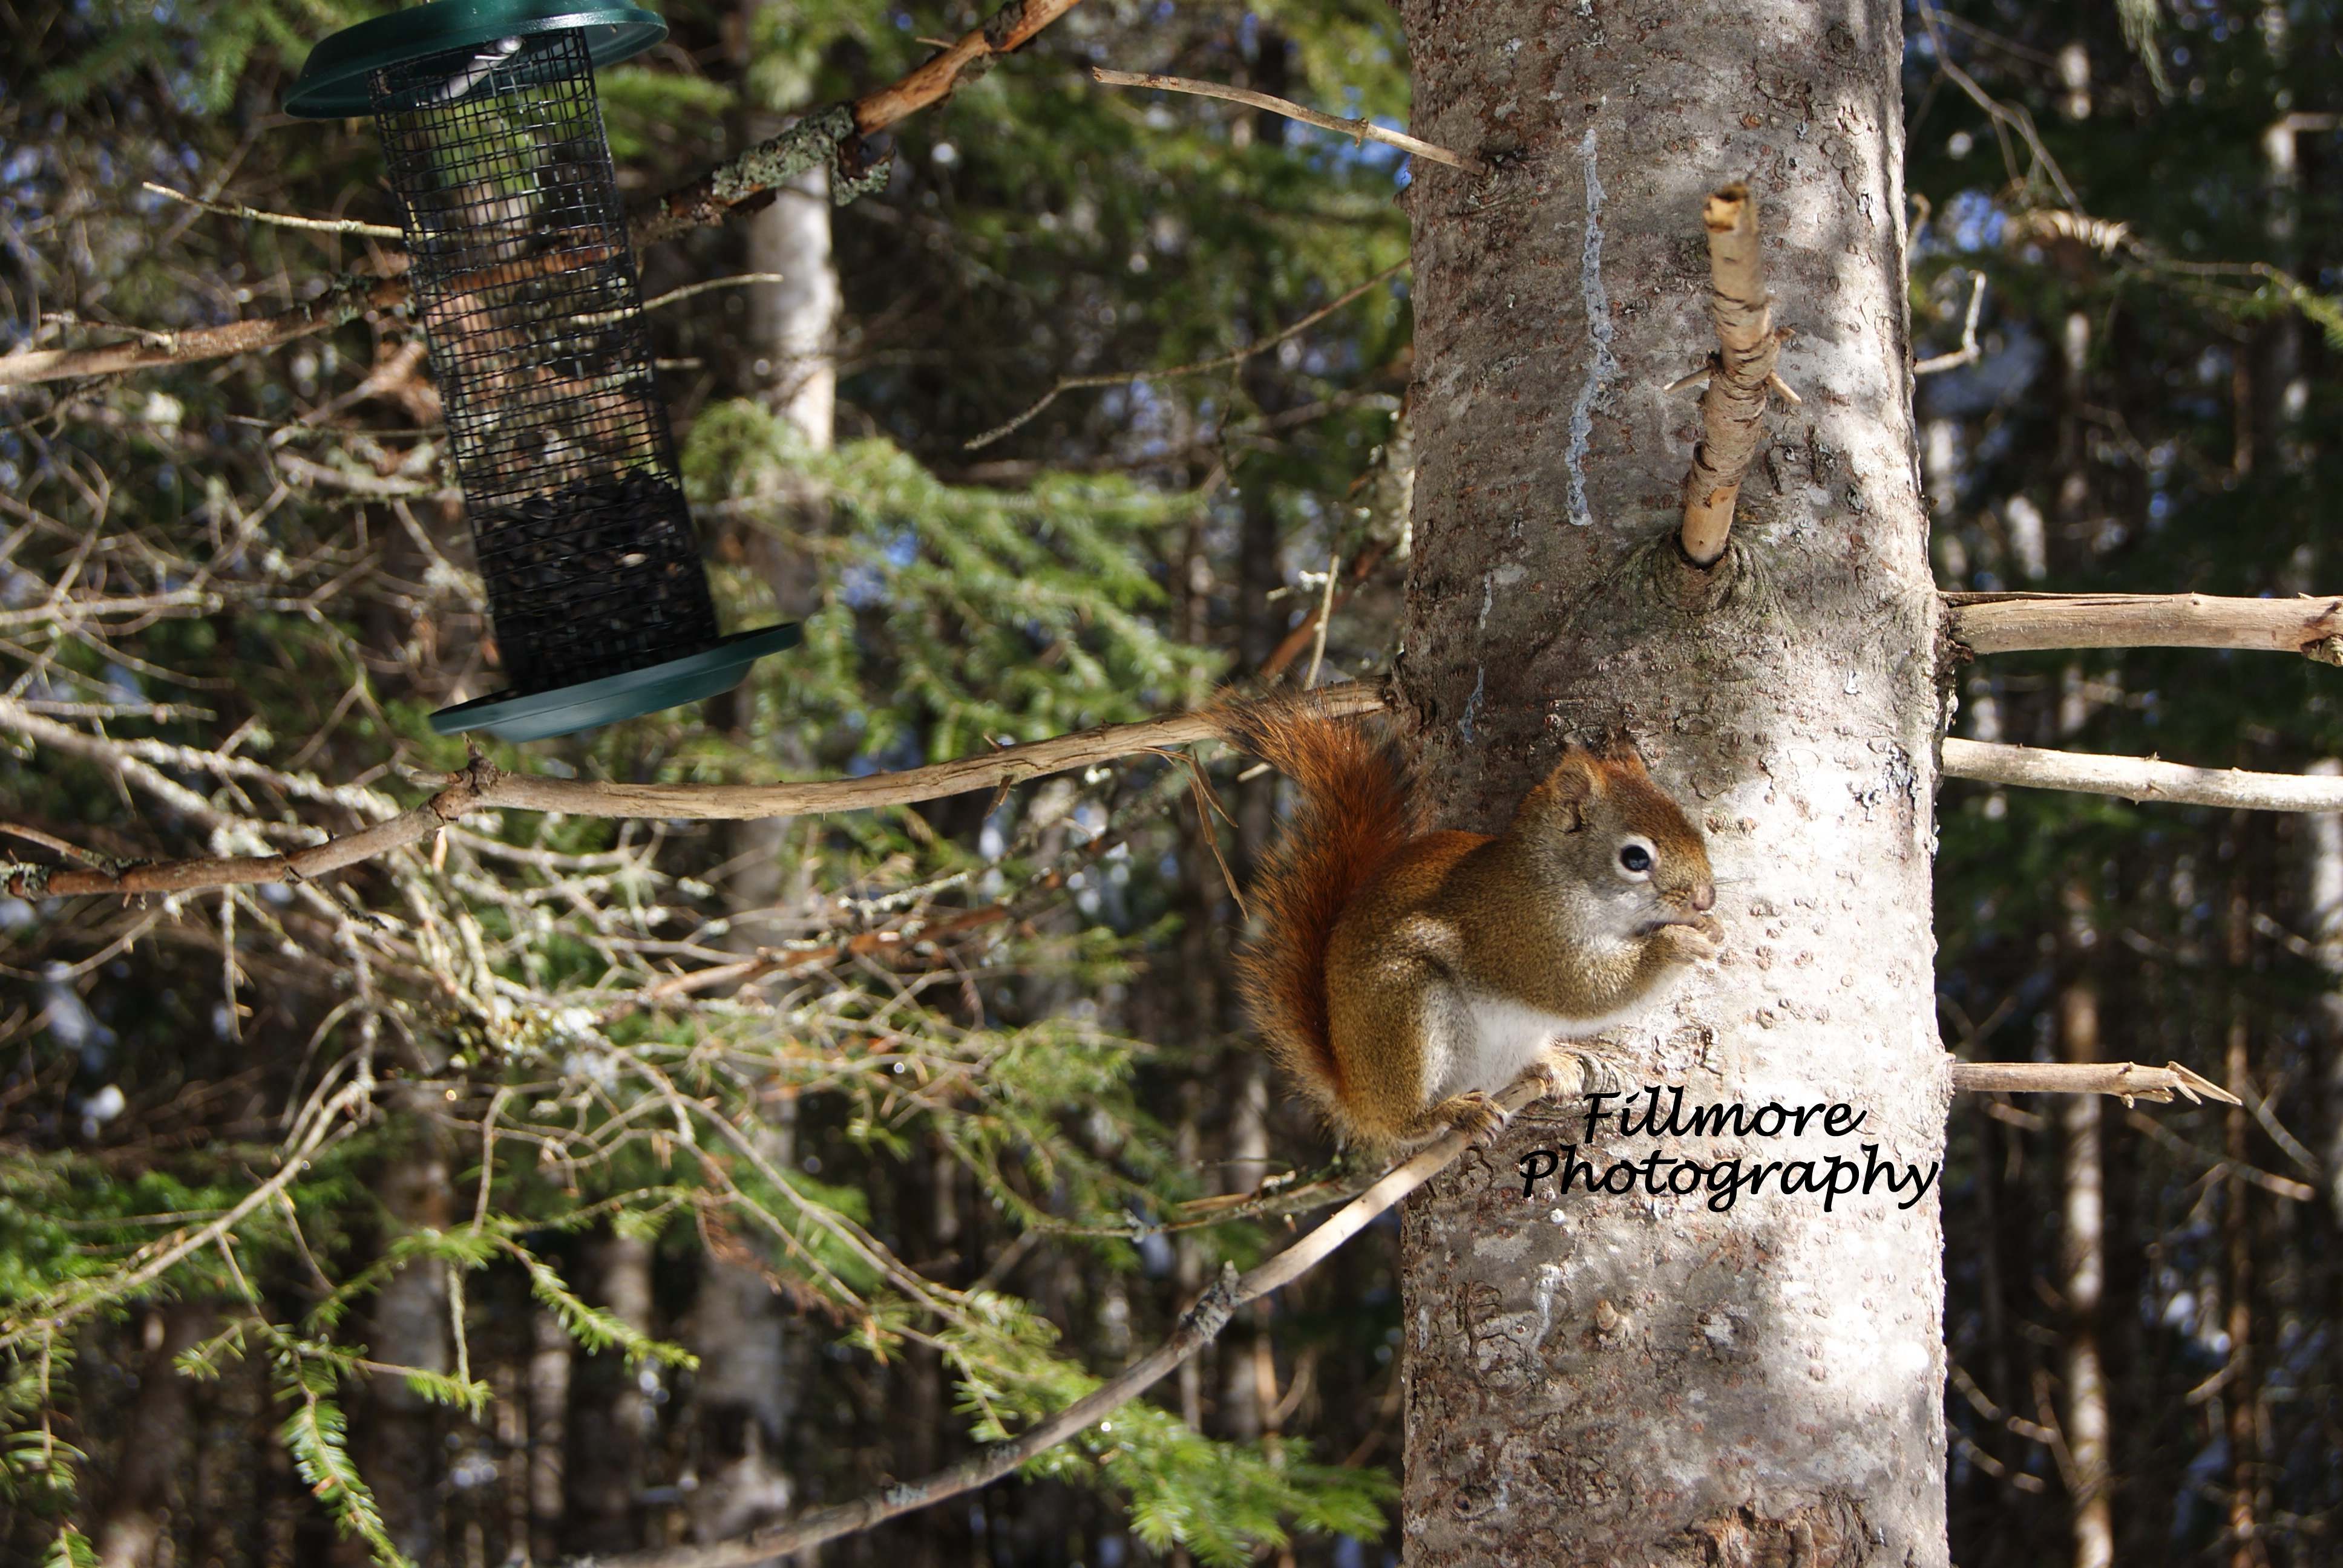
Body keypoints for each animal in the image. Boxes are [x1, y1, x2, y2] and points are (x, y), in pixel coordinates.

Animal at [1222, 705, 1722, 1152]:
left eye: (1686, 820)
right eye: (1635, 858)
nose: (1705, 899)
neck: (1553, 875)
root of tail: (1356, 1096)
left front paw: (1710, 929)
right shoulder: (1523, 935)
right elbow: (1583, 989)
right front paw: (1677, 943)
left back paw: (1552, 1065)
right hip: (1403, 1007)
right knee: (1404, 1124)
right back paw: (1450, 1112)